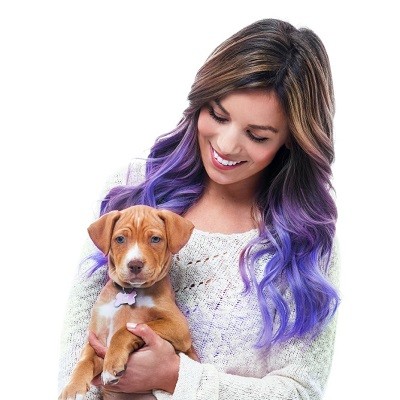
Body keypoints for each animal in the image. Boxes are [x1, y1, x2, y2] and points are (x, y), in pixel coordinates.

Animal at [59, 205, 195, 398]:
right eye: (120, 239)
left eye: (155, 239)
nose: (135, 264)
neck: (131, 290)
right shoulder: (96, 337)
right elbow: (84, 360)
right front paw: (73, 387)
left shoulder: (179, 326)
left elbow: (124, 330)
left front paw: (112, 365)